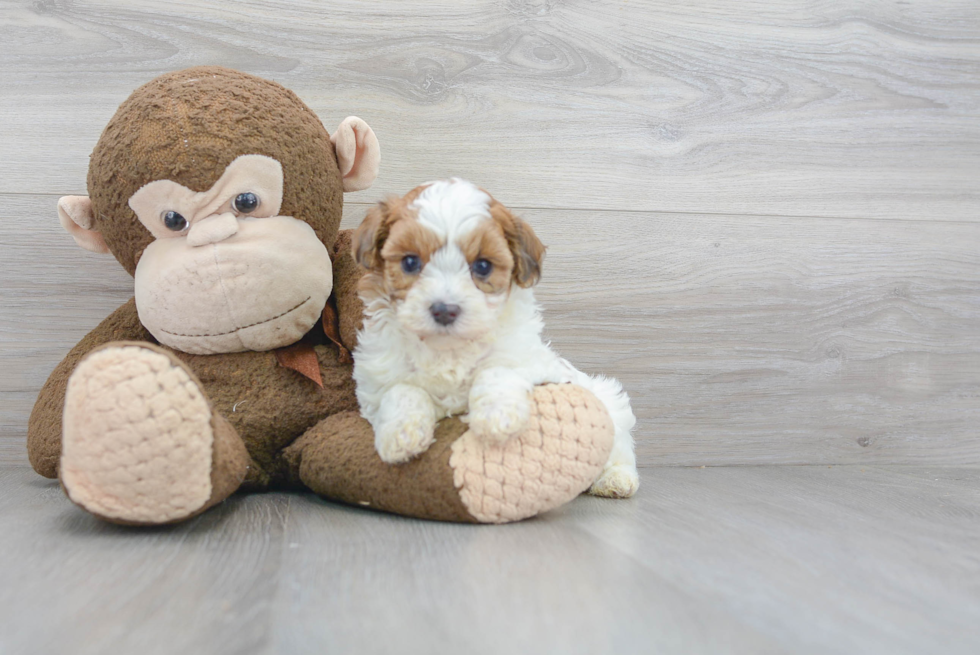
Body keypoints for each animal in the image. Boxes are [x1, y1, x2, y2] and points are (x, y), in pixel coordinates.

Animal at [348, 178, 640, 498]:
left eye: (483, 266)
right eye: (410, 262)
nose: (444, 310)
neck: (449, 350)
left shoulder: (528, 359)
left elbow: (497, 370)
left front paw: (497, 416)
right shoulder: (378, 376)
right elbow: (401, 390)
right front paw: (401, 434)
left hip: (608, 401)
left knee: (619, 447)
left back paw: (615, 479)